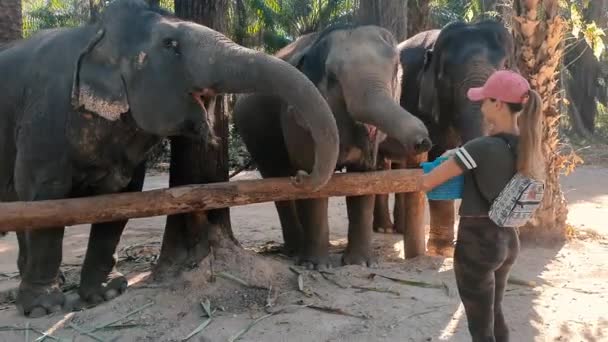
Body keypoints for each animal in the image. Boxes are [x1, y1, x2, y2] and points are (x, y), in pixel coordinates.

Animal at [0, 0, 342, 318]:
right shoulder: (45, 117)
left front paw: (108, 293)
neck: (94, 35)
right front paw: (41, 308)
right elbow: (44, 199)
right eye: (170, 45)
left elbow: (119, 201)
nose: (300, 176)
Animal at [230, 24, 430, 270]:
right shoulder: (298, 118)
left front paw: (359, 264)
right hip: (255, 134)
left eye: (394, 71)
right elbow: (315, 179)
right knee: (275, 180)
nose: (423, 141)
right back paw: (295, 250)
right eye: (333, 78)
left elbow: (363, 182)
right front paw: (314, 266)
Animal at [370, 19, 512, 254]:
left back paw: (399, 229)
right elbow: (437, 155)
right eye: (446, 80)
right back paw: (384, 229)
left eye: (504, 71)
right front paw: (442, 250)